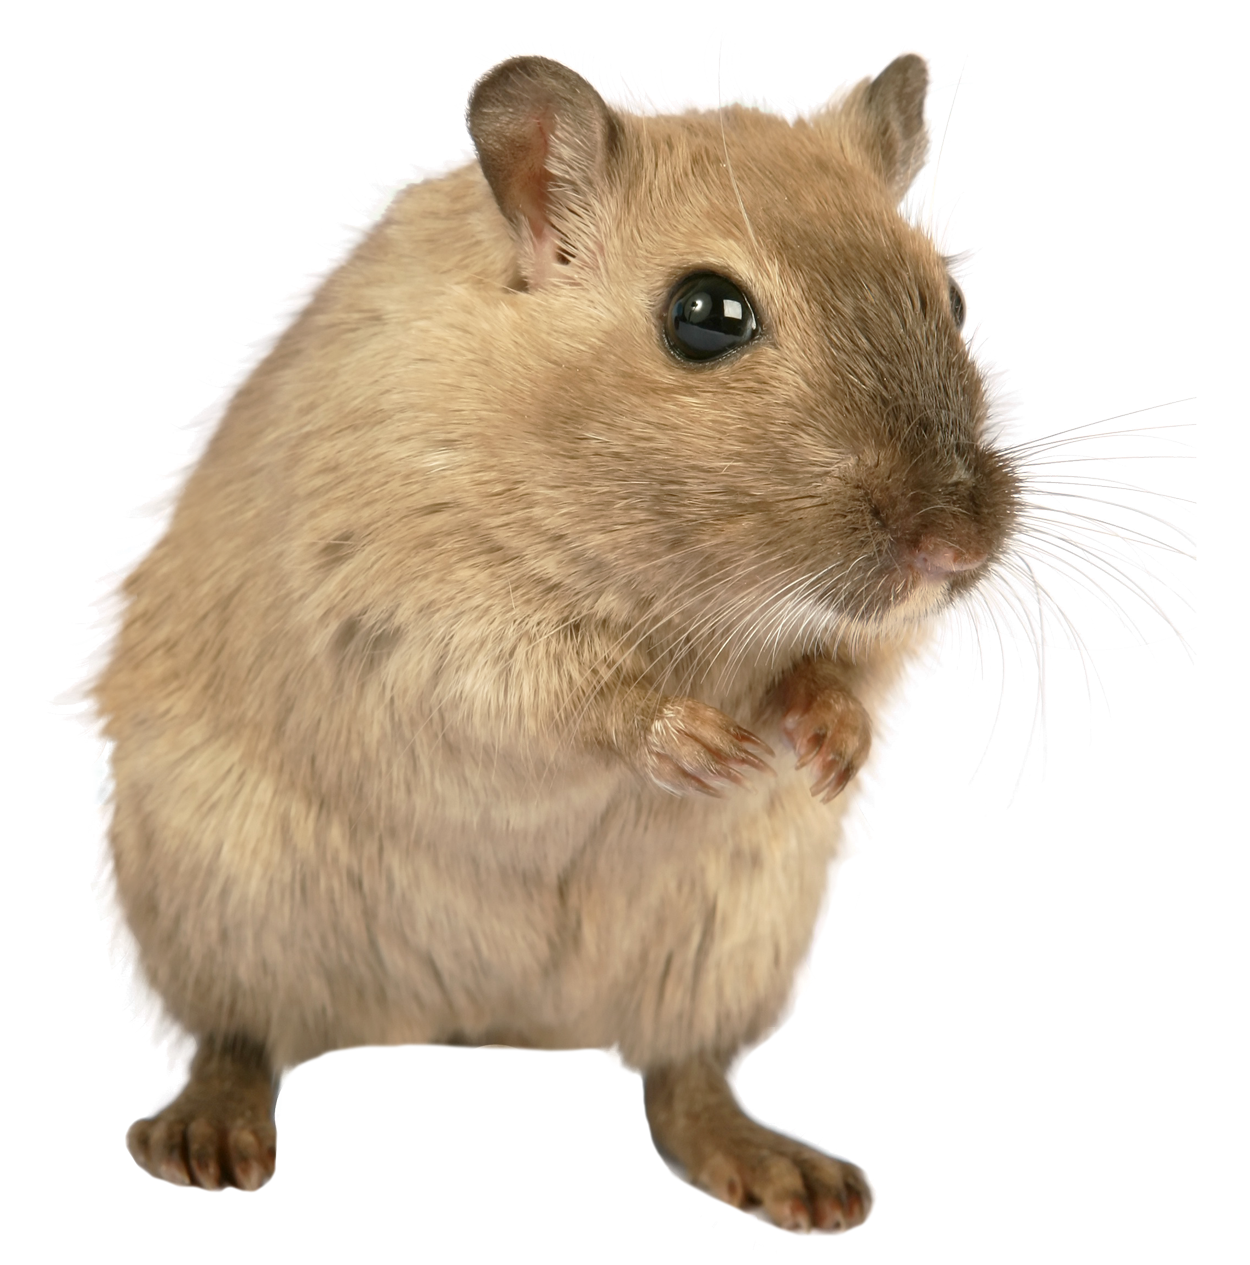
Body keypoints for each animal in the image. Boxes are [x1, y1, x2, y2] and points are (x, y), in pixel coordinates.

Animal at [55, 49, 1018, 1236]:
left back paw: (797, 1179)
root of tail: (482, 1025)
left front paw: (823, 747)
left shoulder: (873, 638)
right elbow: (555, 692)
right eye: (705, 316)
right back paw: (202, 1142)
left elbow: (846, 670)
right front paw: (703, 745)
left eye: (949, 294)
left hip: (732, 941)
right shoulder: (407, 599)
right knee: (238, 1037)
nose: (956, 545)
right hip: (210, 898)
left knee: (680, 1085)